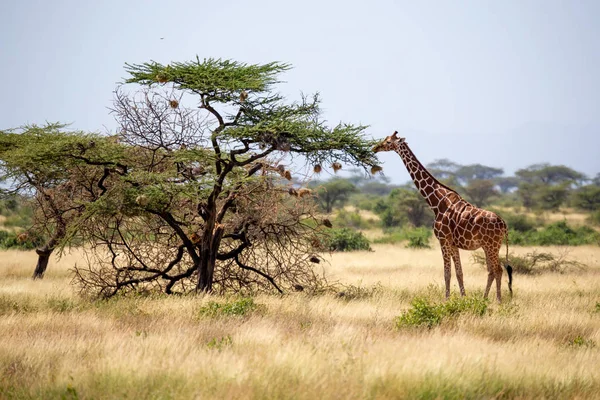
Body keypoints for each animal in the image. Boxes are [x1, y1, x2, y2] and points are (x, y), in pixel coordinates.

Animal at [372, 133, 512, 302]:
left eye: (387, 142)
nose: (375, 148)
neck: (436, 202)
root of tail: (504, 224)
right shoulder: (453, 243)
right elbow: (459, 272)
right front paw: (463, 298)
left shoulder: (443, 239)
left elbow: (447, 273)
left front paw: (446, 300)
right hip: (489, 246)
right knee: (492, 270)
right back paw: (484, 299)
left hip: (492, 245)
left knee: (498, 270)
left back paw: (498, 300)